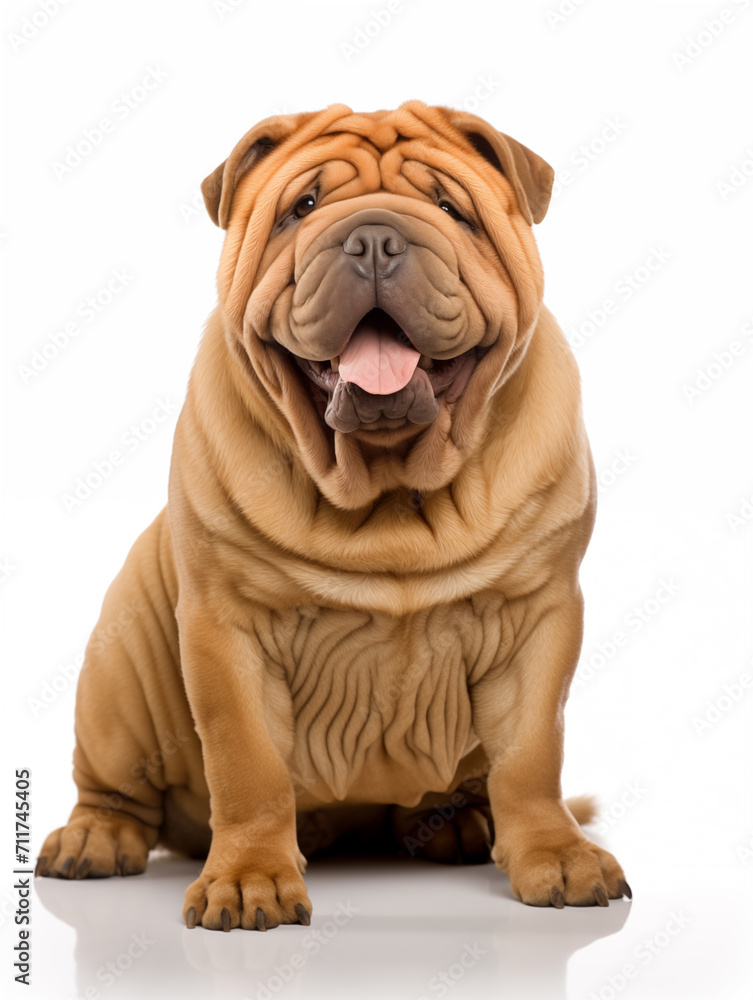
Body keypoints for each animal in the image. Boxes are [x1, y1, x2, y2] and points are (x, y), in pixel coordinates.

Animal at [38, 99, 632, 928]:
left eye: (453, 210)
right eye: (302, 207)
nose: (374, 238)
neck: (388, 483)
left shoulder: (536, 619)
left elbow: (529, 755)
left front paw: (555, 854)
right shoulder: (227, 629)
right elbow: (247, 763)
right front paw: (249, 879)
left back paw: (461, 823)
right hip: (119, 672)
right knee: (114, 786)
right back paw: (93, 840)